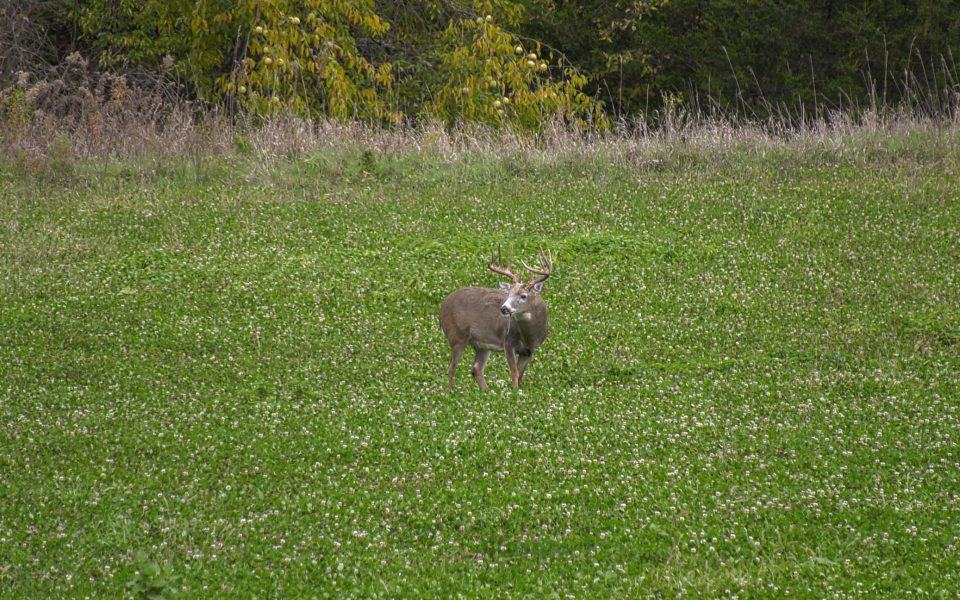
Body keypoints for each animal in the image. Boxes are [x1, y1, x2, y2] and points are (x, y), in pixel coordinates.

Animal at [438, 247, 552, 392]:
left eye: (523, 296)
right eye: (508, 294)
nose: (504, 308)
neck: (530, 336)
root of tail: (442, 308)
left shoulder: (529, 351)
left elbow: (520, 375)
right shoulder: (508, 341)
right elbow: (514, 373)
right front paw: (514, 392)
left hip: (481, 344)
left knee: (476, 368)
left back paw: (486, 392)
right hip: (457, 336)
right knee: (452, 367)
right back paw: (450, 392)